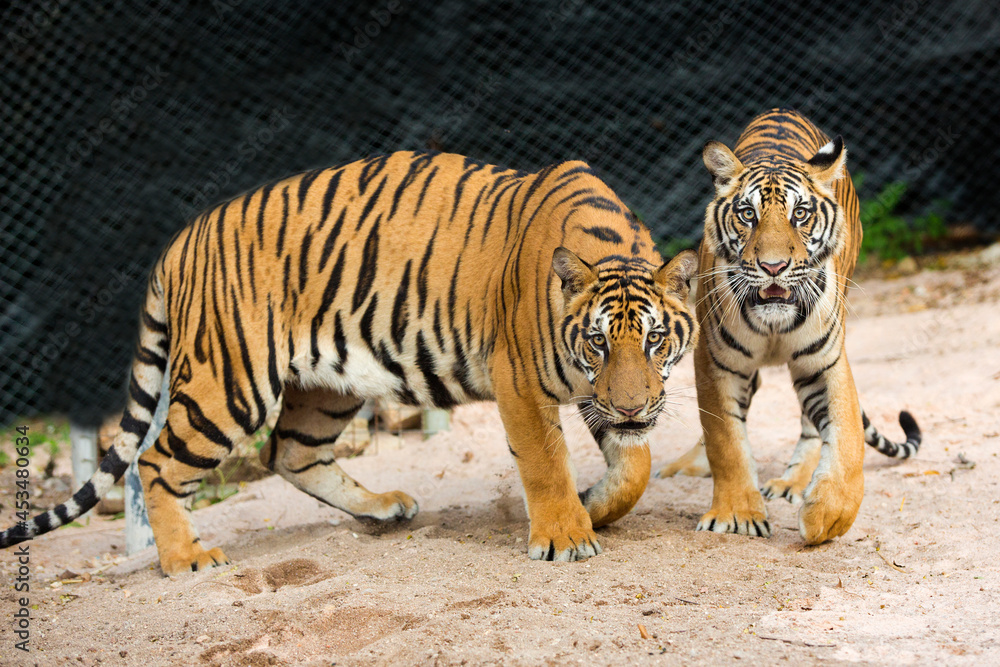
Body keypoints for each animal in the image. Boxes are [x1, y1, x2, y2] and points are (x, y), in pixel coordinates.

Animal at [1, 151, 699, 574]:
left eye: (655, 340)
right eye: (599, 342)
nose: (632, 407)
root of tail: (179, 242)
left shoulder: (603, 397)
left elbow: (636, 465)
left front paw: (596, 504)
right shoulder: (521, 382)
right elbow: (546, 463)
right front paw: (565, 536)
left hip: (328, 383)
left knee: (288, 452)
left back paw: (385, 506)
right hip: (231, 384)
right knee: (157, 461)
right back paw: (186, 559)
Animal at [654, 109, 921, 545]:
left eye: (800, 214)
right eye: (748, 214)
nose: (774, 266)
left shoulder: (826, 362)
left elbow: (847, 440)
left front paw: (829, 516)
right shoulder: (715, 363)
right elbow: (725, 440)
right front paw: (736, 513)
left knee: (813, 426)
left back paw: (793, 484)